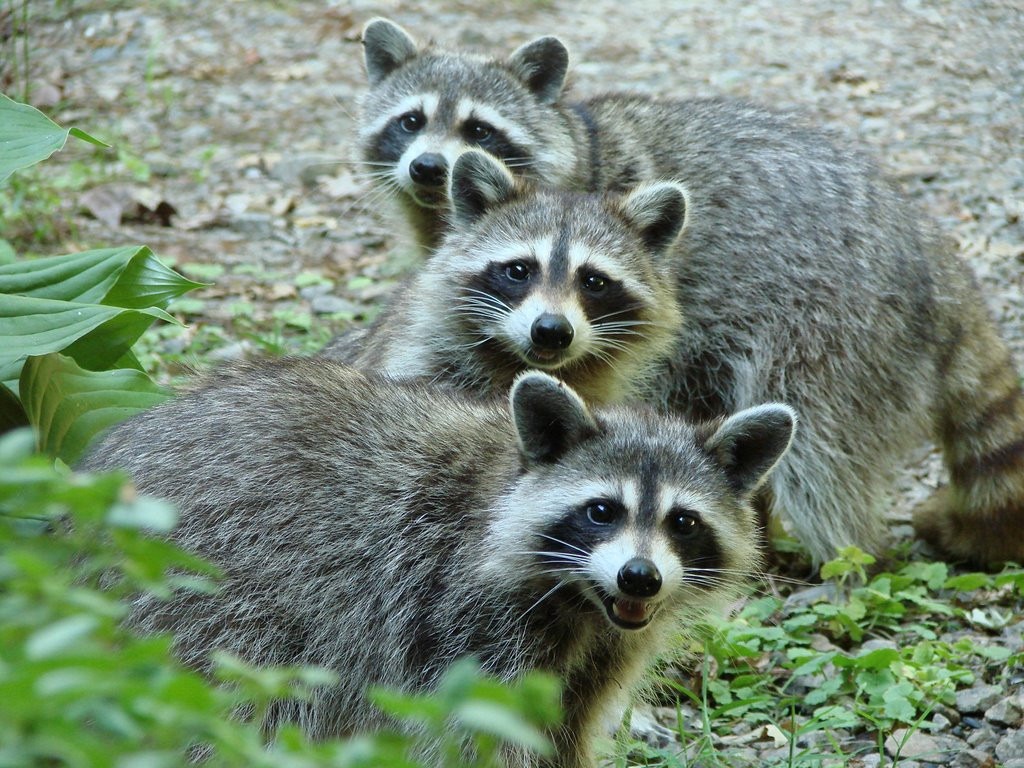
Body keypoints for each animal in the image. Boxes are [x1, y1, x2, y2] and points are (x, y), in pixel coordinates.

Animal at [81, 362, 798, 768]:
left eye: (682, 522)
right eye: (602, 511)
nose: (639, 577)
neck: (580, 601)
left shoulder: (601, 653)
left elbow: (566, 732)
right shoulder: (463, 619)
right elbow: (482, 738)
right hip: (207, 600)